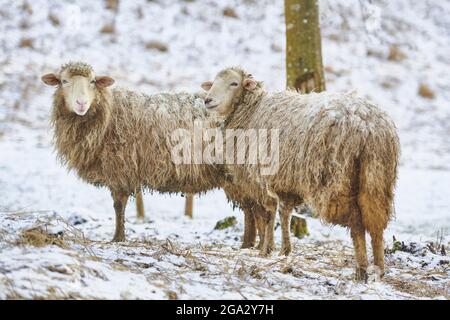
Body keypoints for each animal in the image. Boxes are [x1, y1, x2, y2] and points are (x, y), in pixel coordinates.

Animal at [40, 62, 268, 248]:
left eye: (93, 82)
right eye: (64, 81)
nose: (81, 104)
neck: (108, 112)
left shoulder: (120, 168)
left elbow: (118, 206)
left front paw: (118, 238)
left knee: (251, 208)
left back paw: (249, 244)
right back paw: (251, 244)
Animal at [202, 67, 400, 280]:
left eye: (234, 83)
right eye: (213, 82)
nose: (208, 100)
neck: (252, 111)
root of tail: (369, 126)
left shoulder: (263, 178)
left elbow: (270, 213)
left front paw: (266, 250)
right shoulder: (285, 182)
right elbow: (284, 213)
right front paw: (284, 251)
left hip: (339, 180)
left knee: (356, 223)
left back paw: (361, 269)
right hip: (377, 176)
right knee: (376, 223)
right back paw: (379, 269)